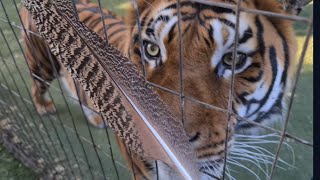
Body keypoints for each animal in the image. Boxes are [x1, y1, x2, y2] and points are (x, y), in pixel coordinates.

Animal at [18, 0, 308, 179]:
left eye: (234, 59)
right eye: (152, 49)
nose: (165, 142)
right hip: (42, 61)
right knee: (37, 84)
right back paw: (43, 108)